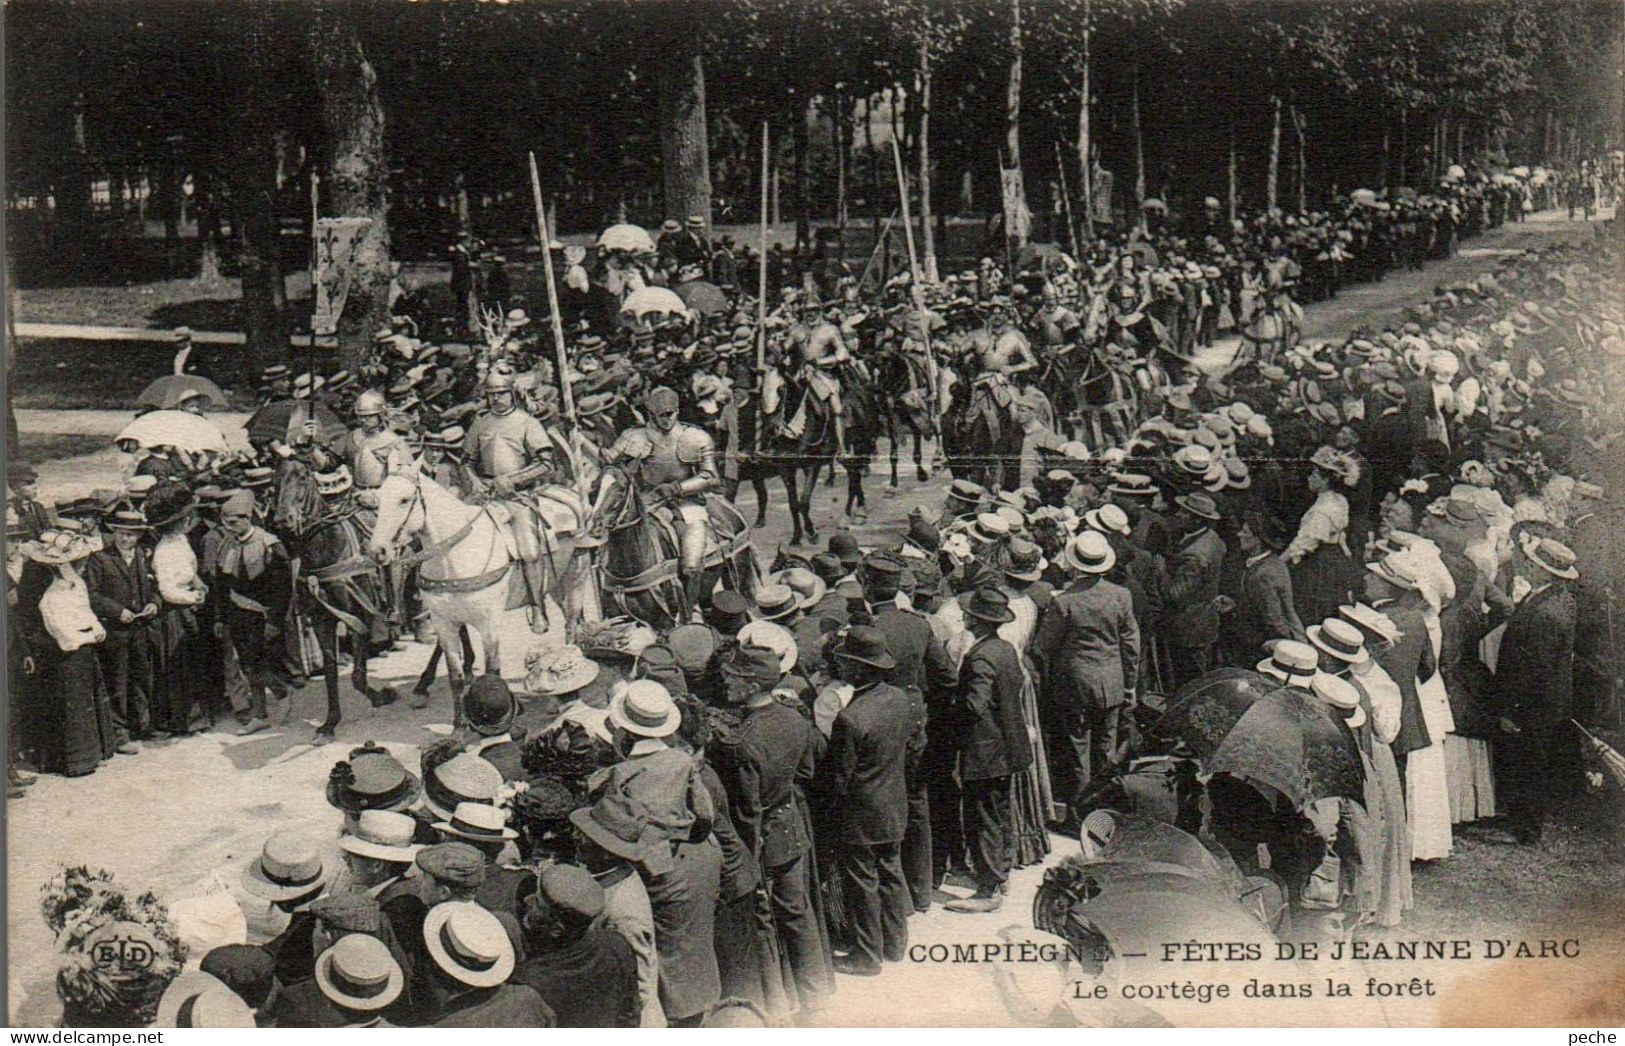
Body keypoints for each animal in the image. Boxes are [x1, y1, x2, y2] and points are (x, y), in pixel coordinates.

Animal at [273, 458, 396, 743]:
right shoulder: (323, 620)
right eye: (275, 482)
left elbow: (358, 676)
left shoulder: (360, 617)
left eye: (303, 477)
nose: (283, 520)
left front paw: (382, 696)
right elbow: (330, 669)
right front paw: (329, 724)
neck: (327, 551)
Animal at [367, 471, 598, 724]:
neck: (454, 554)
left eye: (404, 500)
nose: (378, 551)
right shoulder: (444, 619)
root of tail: (569, 493)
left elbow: (491, 672)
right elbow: (454, 671)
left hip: (575, 577)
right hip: (556, 585)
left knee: (570, 626)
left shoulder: (489, 623)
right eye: (378, 500)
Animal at [585, 464, 760, 630]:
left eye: (621, 488)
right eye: (593, 488)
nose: (595, 526)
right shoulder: (618, 621)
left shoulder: (664, 623)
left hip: (739, 579)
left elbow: (707, 474)